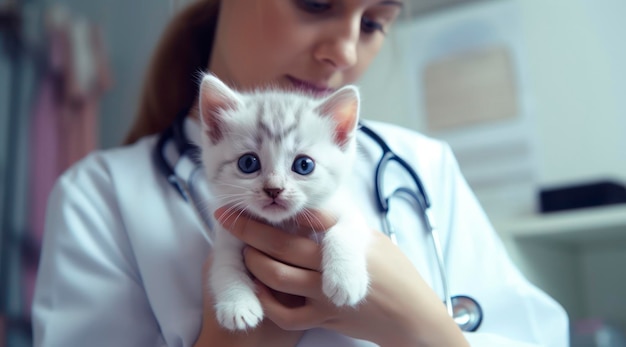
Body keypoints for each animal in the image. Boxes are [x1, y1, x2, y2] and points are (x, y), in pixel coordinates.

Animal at [197, 73, 368, 332]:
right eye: (248, 163)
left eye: (304, 165)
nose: (274, 189)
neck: (282, 224)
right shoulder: (227, 236)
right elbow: (225, 265)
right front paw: (237, 304)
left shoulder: (351, 210)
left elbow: (346, 229)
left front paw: (345, 278)